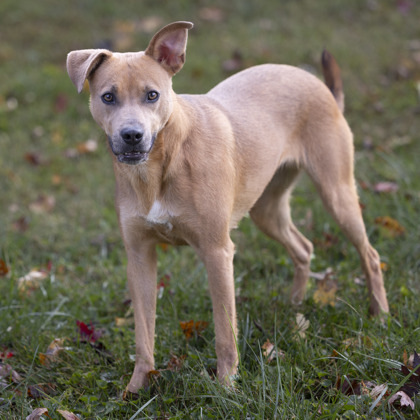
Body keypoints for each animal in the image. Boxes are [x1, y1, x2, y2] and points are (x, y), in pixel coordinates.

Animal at [67, 21, 388, 396]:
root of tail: (320, 86)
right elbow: (143, 334)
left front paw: (226, 387)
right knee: (304, 248)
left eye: (152, 95)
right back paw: (295, 305)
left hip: (337, 194)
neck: (163, 163)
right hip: (267, 211)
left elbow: (224, 331)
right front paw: (137, 388)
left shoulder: (217, 252)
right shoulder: (139, 256)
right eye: (108, 97)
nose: (132, 135)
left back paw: (380, 315)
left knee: (370, 255)